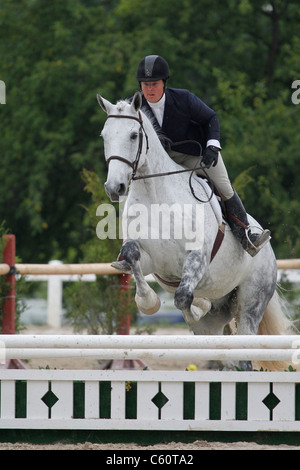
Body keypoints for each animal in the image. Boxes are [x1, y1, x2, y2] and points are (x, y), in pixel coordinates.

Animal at [96, 92, 292, 370]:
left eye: (134, 135)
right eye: (104, 135)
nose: (115, 188)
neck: (156, 196)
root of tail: (270, 253)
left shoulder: (197, 257)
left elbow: (182, 298)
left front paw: (196, 307)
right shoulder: (152, 262)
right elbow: (133, 256)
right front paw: (149, 302)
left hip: (252, 301)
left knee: (244, 349)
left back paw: (251, 241)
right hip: (221, 313)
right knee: (225, 349)